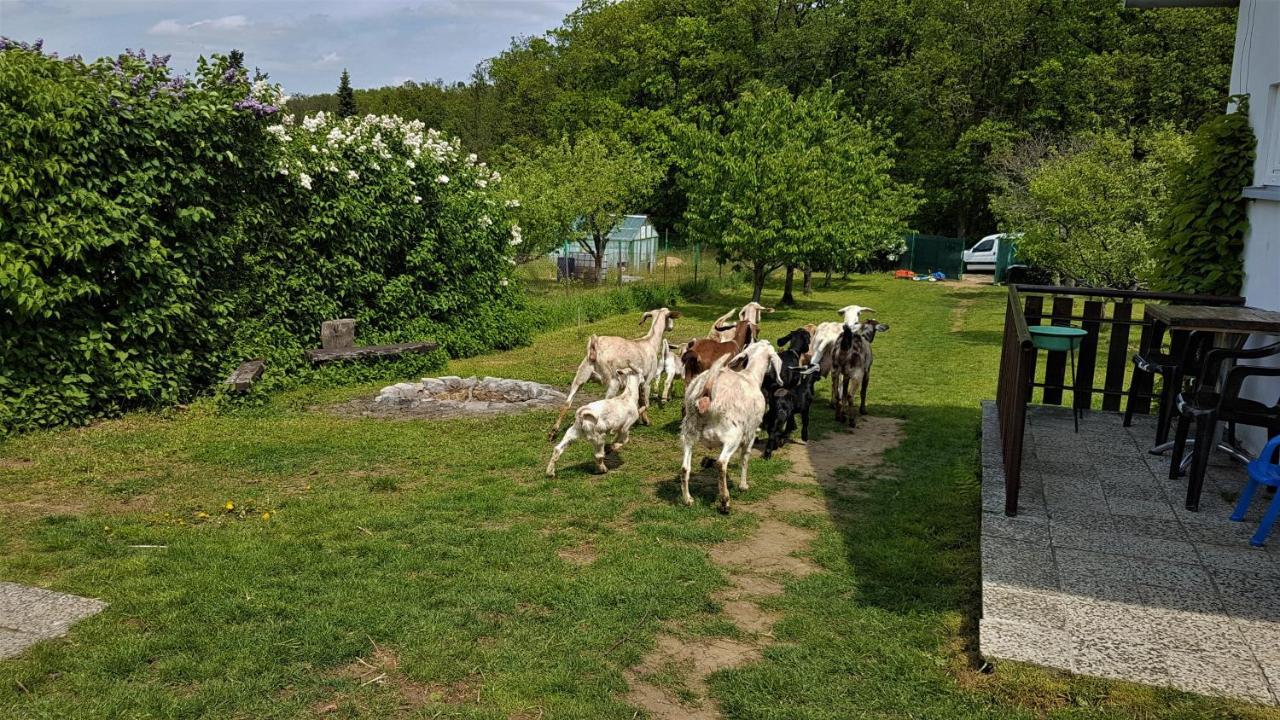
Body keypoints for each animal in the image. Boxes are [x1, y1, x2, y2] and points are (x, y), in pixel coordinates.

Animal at [680, 340, 778, 509]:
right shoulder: (751, 433)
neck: (751, 376)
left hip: (688, 433)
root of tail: (706, 392)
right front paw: (743, 485)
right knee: (721, 463)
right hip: (732, 436)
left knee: (685, 468)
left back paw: (688, 499)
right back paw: (725, 500)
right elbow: (745, 457)